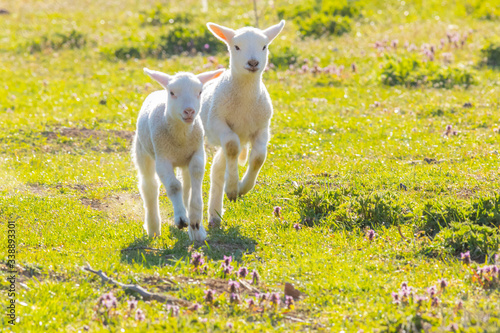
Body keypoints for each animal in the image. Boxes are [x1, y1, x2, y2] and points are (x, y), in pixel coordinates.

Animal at [133, 66, 223, 240]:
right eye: (172, 93)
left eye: (200, 92)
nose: (189, 111)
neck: (181, 137)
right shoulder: (162, 159)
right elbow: (174, 186)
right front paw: (181, 219)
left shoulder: (197, 154)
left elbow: (195, 182)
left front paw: (195, 220)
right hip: (143, 150)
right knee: (149, 186)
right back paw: (153, 229)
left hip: (184, 161)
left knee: (187, 187)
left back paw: (196, 232)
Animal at [199, 20, 286, 226]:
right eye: (237, 47)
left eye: (264, 46)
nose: (253, 63)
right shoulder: (217, 122)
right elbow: (232, 146)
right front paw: (232, 189)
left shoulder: (263, 127)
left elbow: (259, 157)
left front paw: (243, 187)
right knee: (224, 160)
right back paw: (216, 211)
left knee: (218, 167)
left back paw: (215, 213)